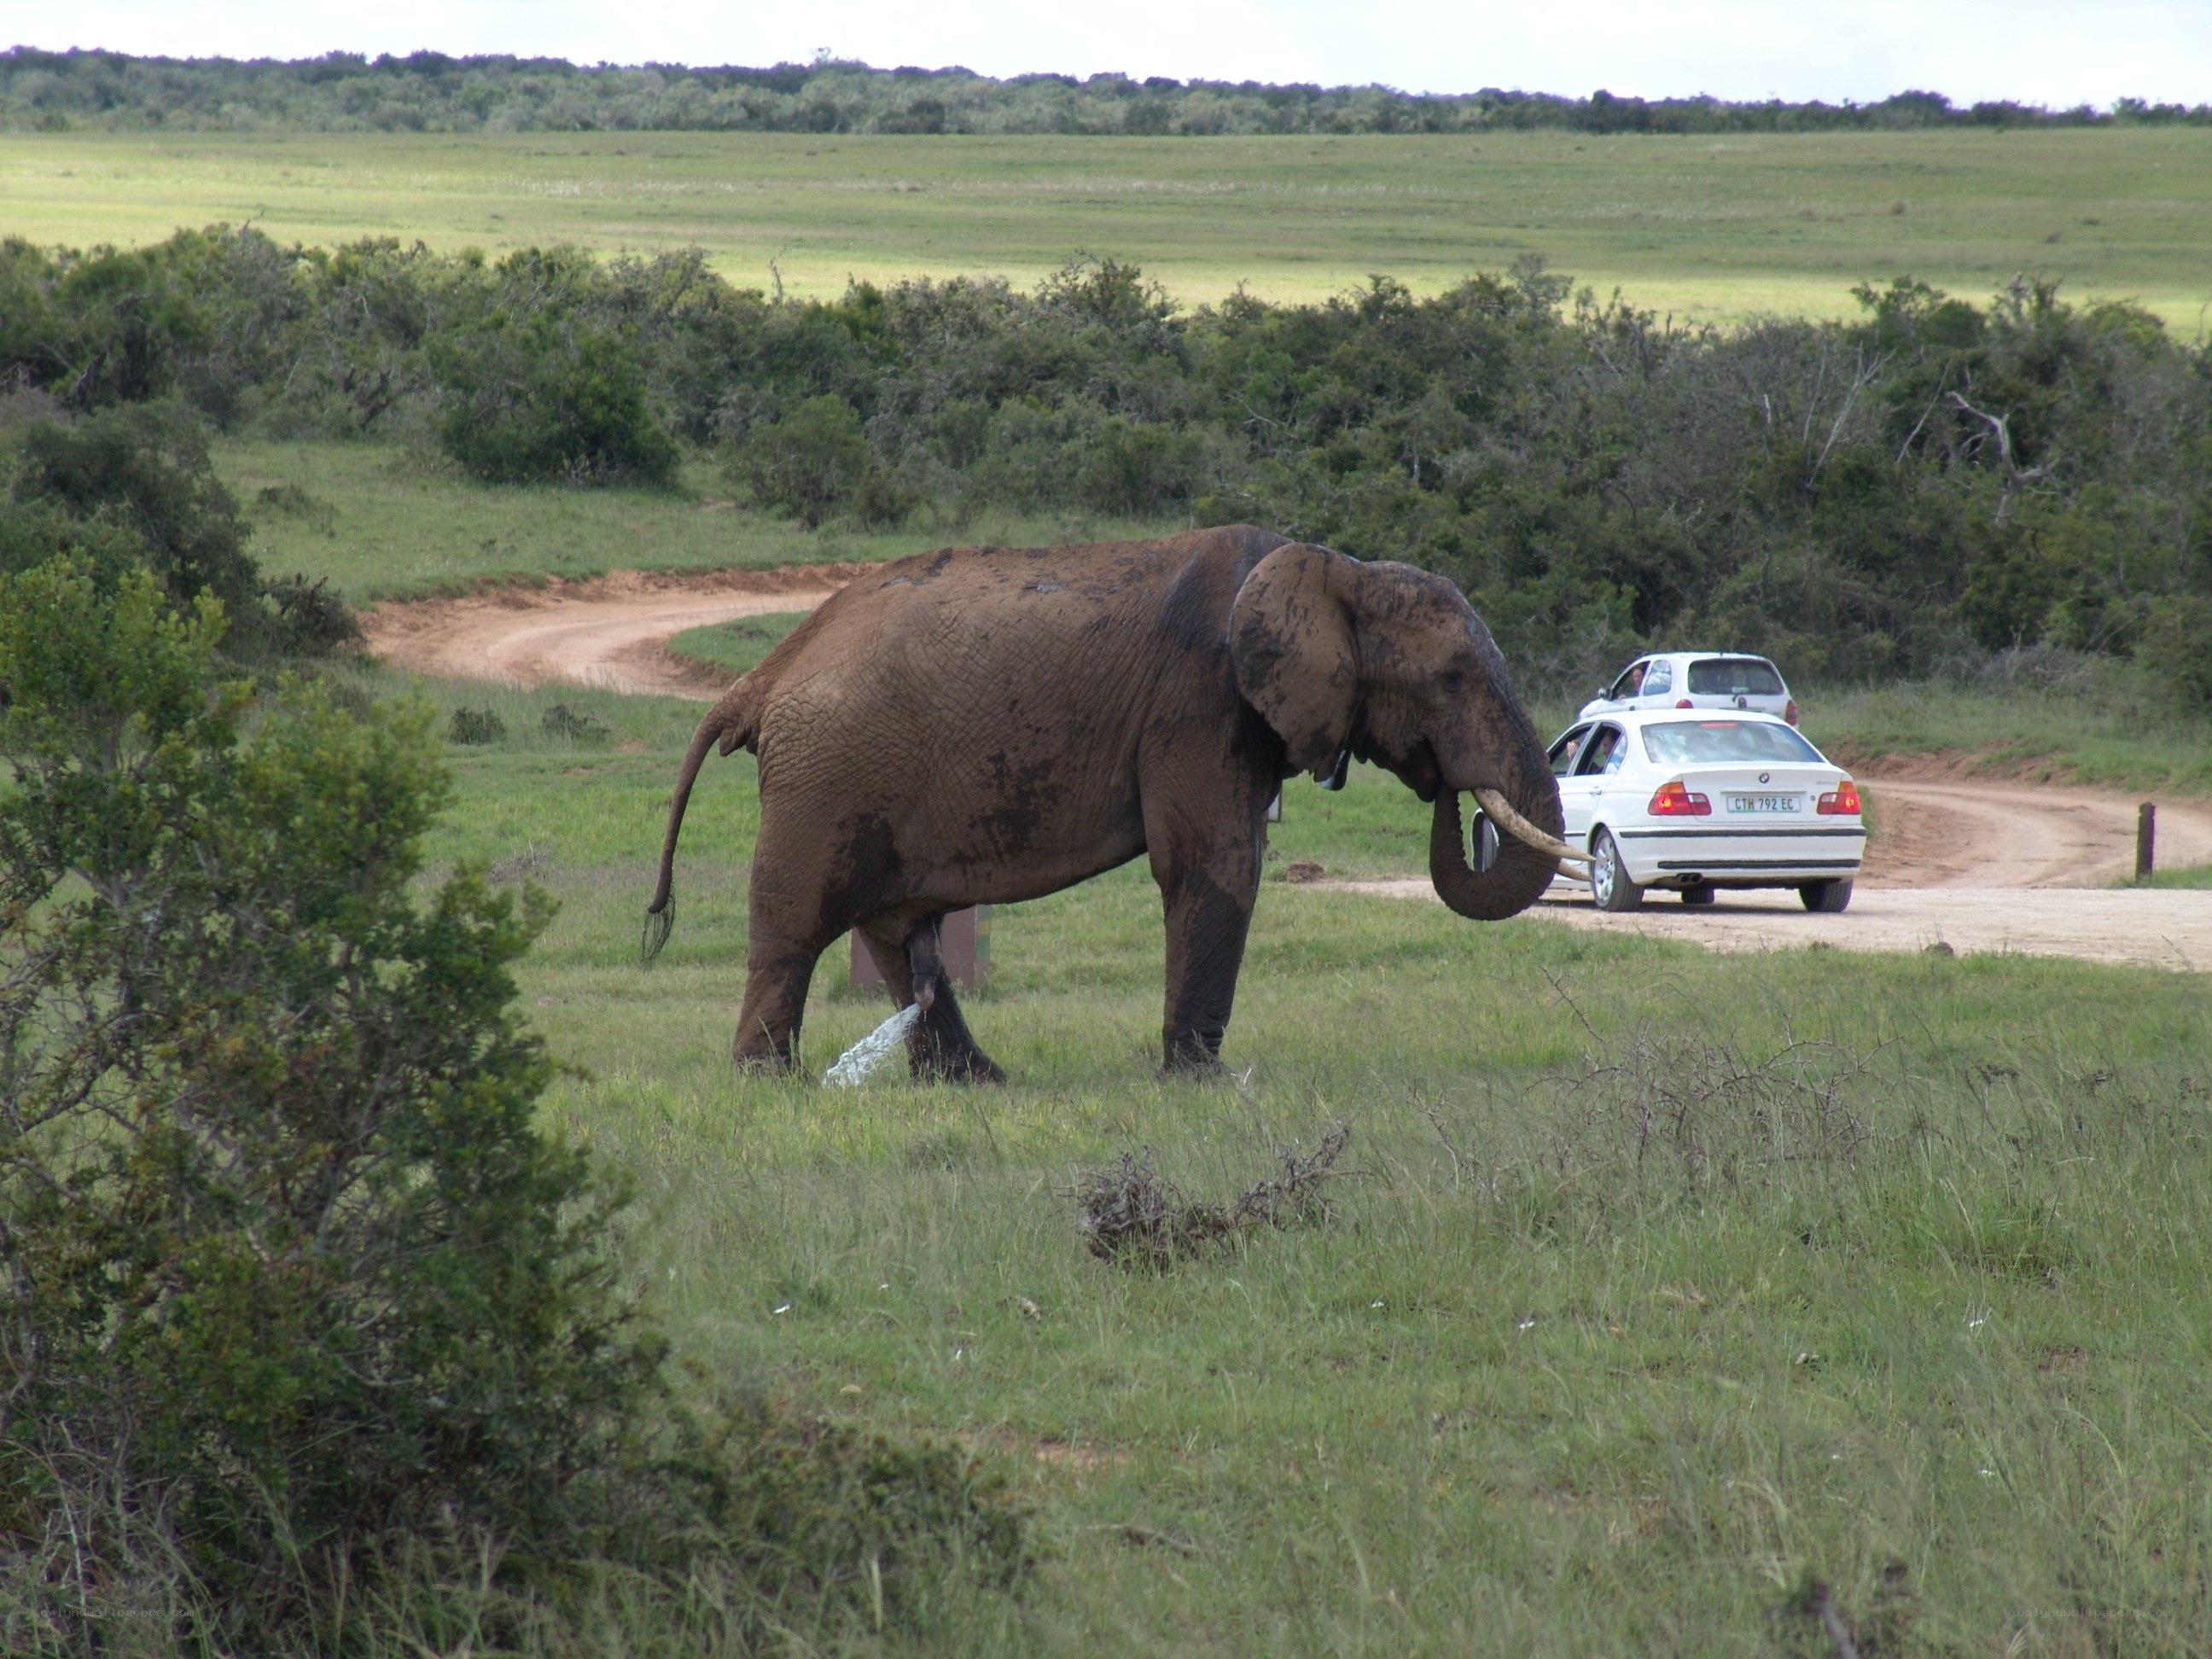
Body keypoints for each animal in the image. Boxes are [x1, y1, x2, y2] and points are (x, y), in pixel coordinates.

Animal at [643, 525, 1586, 1081]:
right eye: (1451, 678)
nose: (1443, 785)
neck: (1334, 571)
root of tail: (764, 675)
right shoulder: (1199, 704)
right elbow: (1215, 865)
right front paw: (1202, 1084)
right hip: (827, 774)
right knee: (799, 924)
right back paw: (769, 1083)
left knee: (898, 930)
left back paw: (978, 1083)